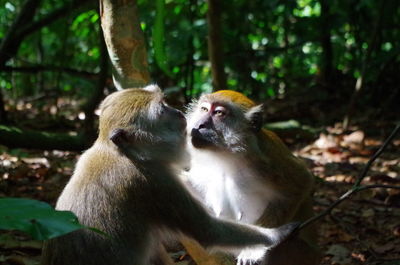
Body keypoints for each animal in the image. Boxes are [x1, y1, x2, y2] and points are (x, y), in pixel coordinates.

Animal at [40, 84, 296, 264]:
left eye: (164, 102)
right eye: (162, 109)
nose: (177, 111)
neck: (122, 153)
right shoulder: (154, 183)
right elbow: (207, 231)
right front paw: (277, 234)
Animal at [182, 90, 322, 264]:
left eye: (219, 113)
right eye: (204, 109)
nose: (200, 125)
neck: (224, 155)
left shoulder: (265, 160)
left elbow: (301, 183)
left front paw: (254, 250)